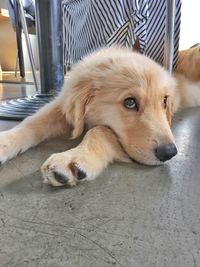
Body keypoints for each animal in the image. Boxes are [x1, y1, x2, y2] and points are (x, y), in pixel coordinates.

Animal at [0, 47, 199, 187]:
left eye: (164, 101)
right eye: (129, 102)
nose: (169, 153)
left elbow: (100, 130)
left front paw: (75, 156)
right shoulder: (62, 104)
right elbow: (33, 122)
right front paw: (5, 141)